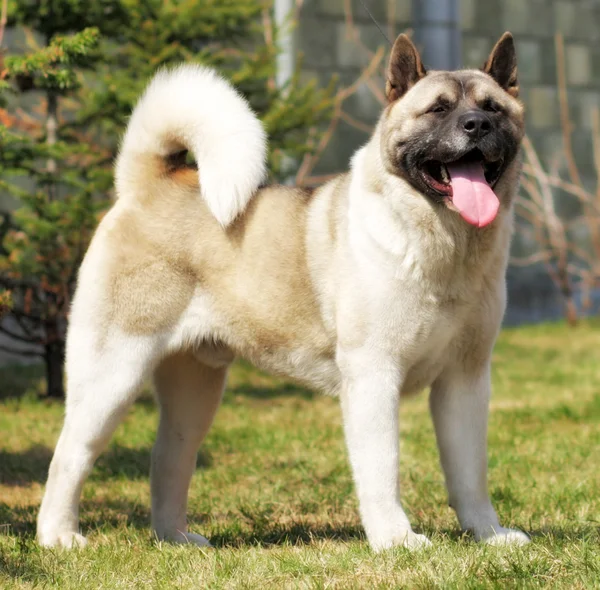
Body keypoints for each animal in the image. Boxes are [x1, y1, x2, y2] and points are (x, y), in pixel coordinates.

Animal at [36, 31, 528, 552]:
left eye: (493, 109)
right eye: (438, 109)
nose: (476, 125)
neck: (448, 246)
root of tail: (147, 186)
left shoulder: (465, 380)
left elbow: (470, 472)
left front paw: (489, 534)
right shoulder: (374, 377)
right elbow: (382, 469)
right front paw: (396, 540)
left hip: (193, 393)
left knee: (169, 457)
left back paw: (177, 539)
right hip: (112, 374)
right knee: (70, 455)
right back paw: (58, 535)